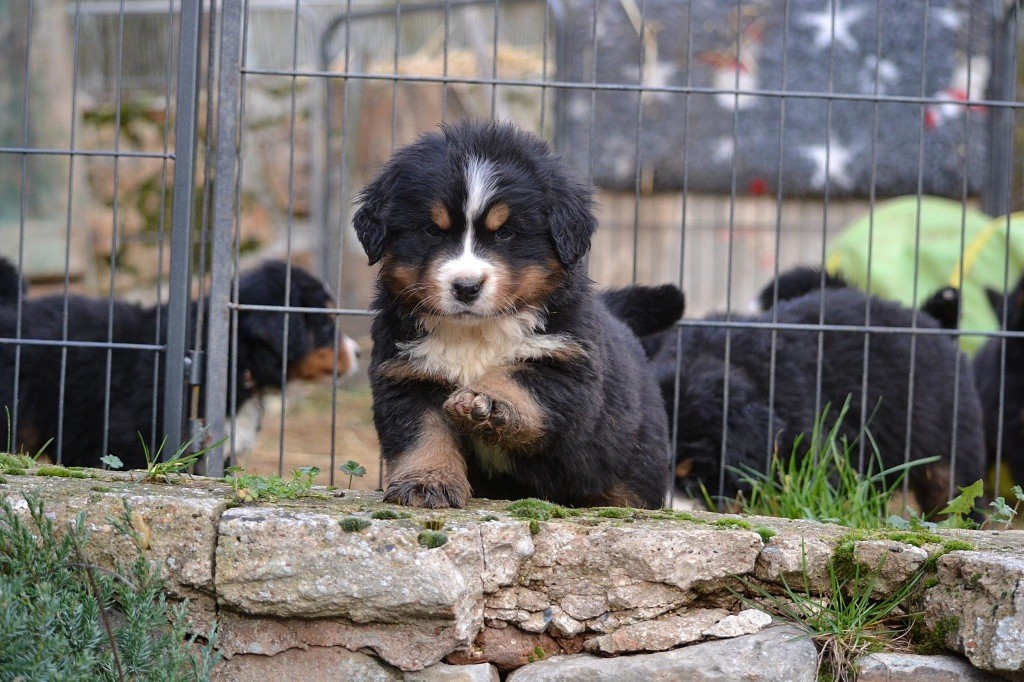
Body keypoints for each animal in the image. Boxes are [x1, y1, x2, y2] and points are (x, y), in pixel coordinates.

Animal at [353, 120, 674, 509]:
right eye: (431, 230)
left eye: (505, 233)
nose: (466, 287)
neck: (476, 333)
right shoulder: (407, 375)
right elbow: (423, 434)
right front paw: (427, 482)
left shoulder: (566, 364)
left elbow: (516, 378)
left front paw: (487, 402)